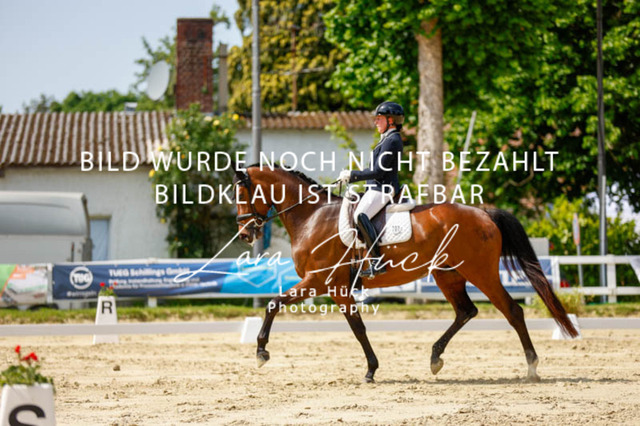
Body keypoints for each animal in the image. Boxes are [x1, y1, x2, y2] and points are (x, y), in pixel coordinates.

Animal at [233, 164, 578, 383]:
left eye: (241, 195)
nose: (246, 234)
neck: (312, 216)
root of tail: (484, 213)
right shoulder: (326, 286)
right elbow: (279, 305)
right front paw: (261, 351)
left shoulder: (324, 283)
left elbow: (351, 326)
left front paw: (262, 352)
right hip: (447, 275)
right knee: (466, 311)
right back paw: (436, 358)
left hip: (480, 273)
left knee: (512, 310)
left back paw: (532, 367)